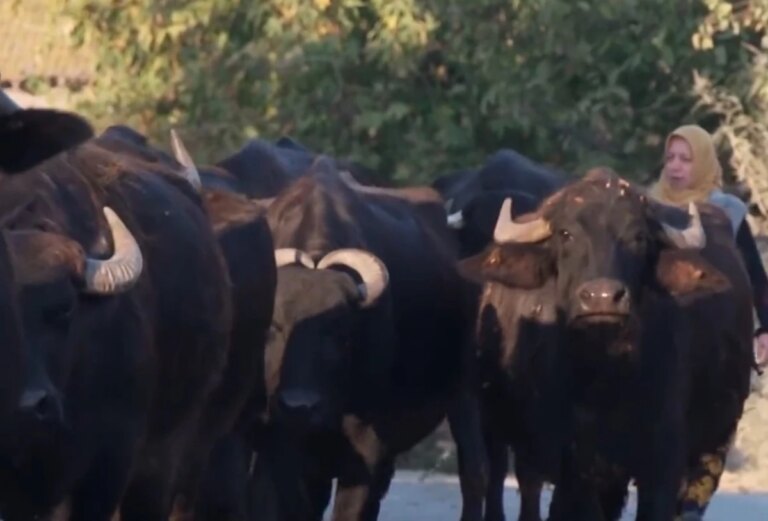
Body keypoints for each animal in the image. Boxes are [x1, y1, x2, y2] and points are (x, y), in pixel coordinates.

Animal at [260, 159, 486, 520]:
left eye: (341, 331)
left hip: (465, 392)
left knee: (474, 473)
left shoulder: (367, 441)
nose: (300, 405)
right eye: (275, 326)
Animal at [460, 174, 752, 520]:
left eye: (639, 237)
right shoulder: (574, 466)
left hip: (713, 446)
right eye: (566, 234)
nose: (602, 298)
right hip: (498, 429)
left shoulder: (662, 464)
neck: (606, 380)